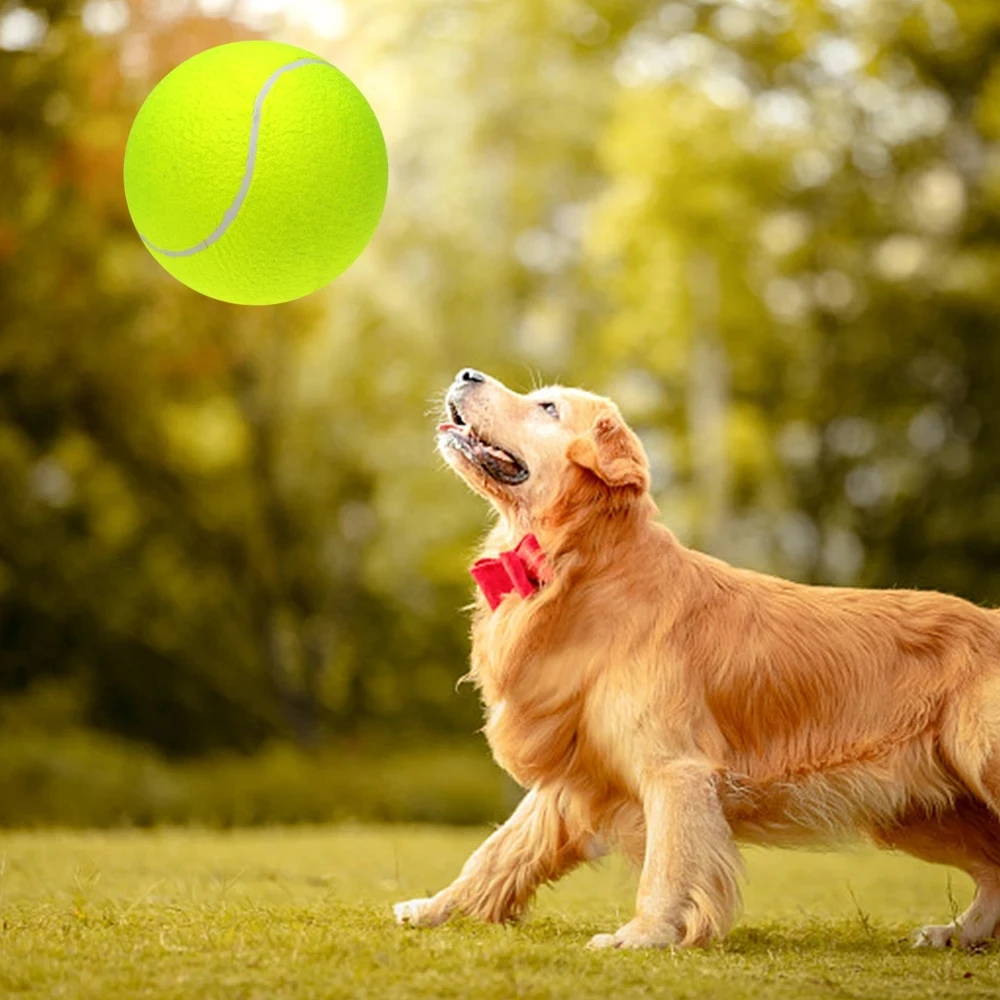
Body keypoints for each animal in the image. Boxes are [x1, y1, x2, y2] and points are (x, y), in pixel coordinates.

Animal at [392, 372, 1000, 948]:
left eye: (548, 407)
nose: (466, 374)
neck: (588, 568)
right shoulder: (579, 772)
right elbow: (496, 852)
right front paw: (434, 908)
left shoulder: (674, 768)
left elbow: (667, 864)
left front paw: (642, 935)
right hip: (919, 809)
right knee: (994, 866)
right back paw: (956, 933)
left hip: (978, 761)